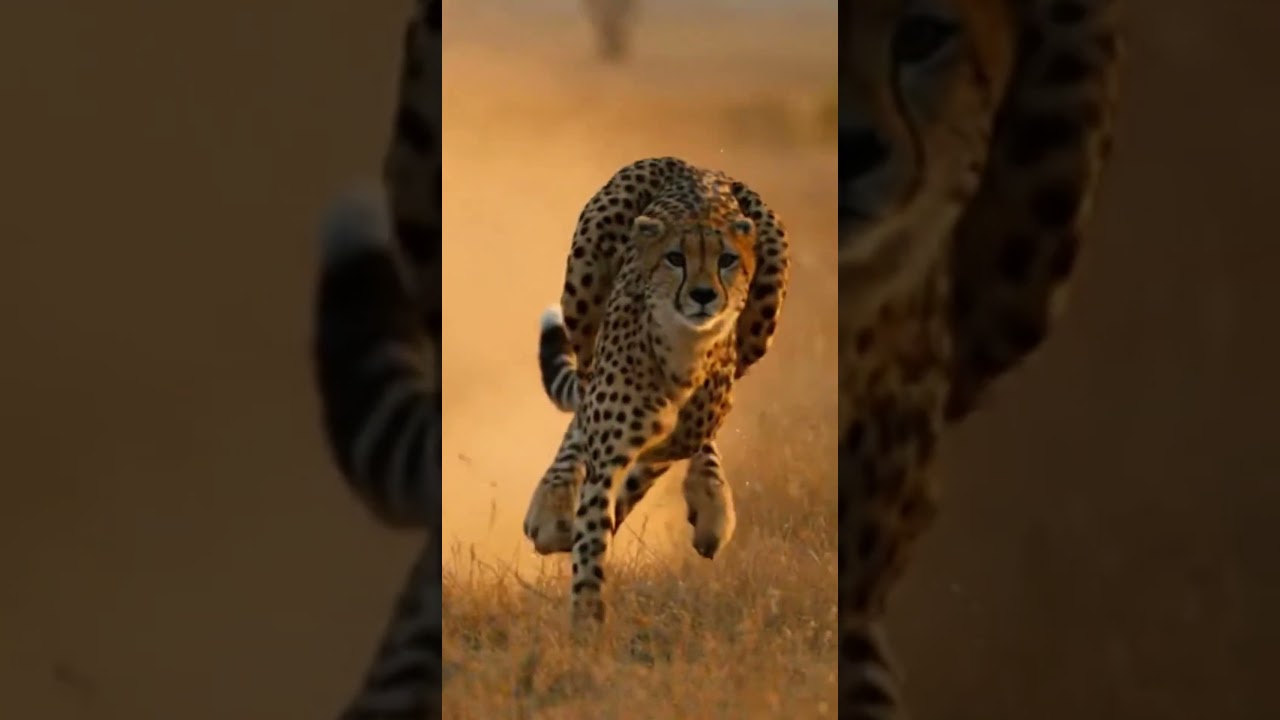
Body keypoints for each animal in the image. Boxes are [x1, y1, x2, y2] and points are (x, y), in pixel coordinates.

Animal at [520, 158, 791, 628]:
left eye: (727, 260)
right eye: (675, 259)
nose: (703, 296)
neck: (683, 347)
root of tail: (699, 168)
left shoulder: (679, 432)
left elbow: (659, 462)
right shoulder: (610, 452)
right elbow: (593, 532)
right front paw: (586, 623)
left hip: (762, 315)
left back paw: (710, 504)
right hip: (583, 291)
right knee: (584, 396)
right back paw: (554, 506)